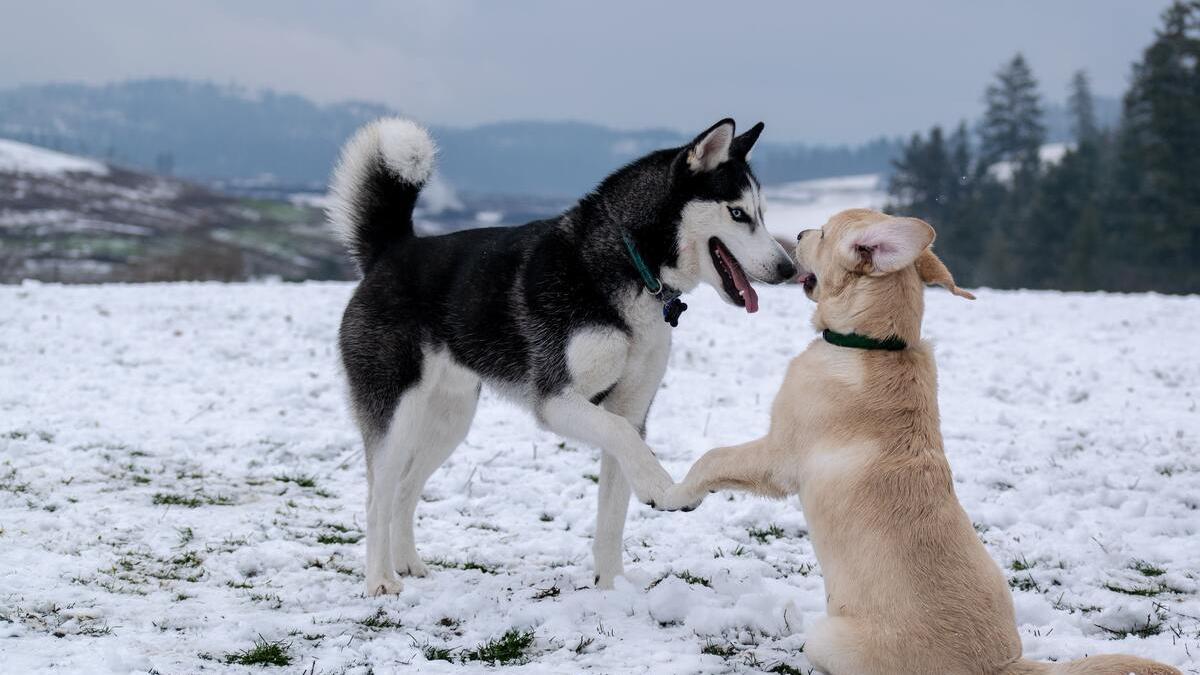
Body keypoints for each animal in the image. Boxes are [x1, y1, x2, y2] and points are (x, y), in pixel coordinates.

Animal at [662, 207, 1176, 667]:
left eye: (824, 233)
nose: (801, 232)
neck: (875, 343)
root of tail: (1002, 668)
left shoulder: (778, 456)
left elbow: (712, 458)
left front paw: (676, 496)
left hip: (825, 635)